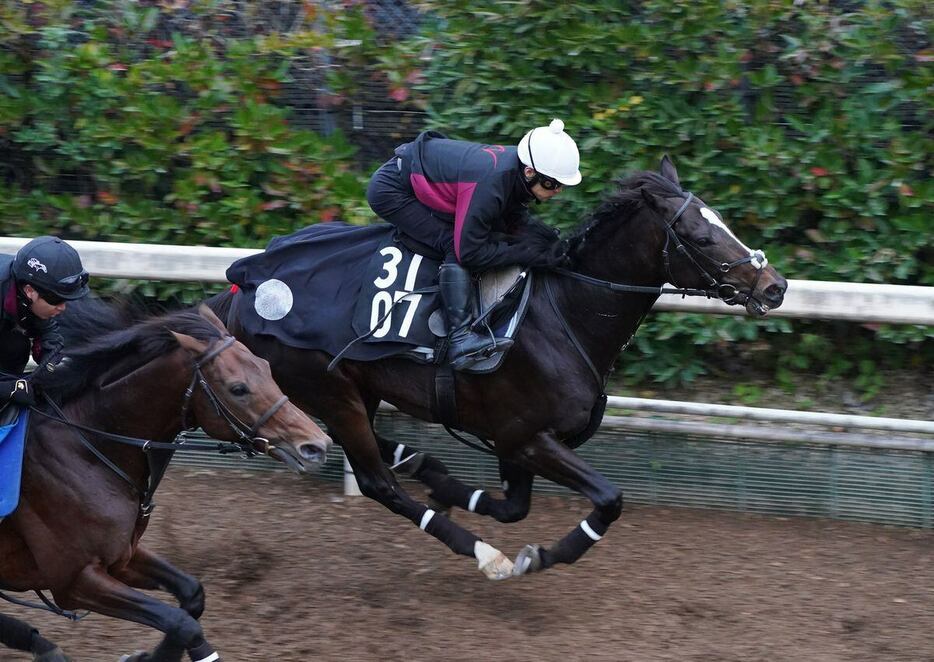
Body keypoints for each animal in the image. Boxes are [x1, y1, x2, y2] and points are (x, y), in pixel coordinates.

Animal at [0, 304, 334, 662]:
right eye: (238, 388)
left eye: (267, 368)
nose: (316, 445)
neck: (86, 448)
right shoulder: (75, 580)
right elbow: (181, 623)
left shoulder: (123, 557)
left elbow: (192, 594)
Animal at [208, 156, 788, 580]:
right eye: (703, 236)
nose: (775, 287)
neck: (564, 313)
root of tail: (244, 286)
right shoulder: (527, 436)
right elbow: (608, 500)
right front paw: (540, 556)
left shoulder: (512, 441)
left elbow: (513, 507)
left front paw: (447, 486)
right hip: (330, 387)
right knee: (376, 482)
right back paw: (483, 553)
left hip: (355, 387)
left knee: (363, 445)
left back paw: (420, 464)